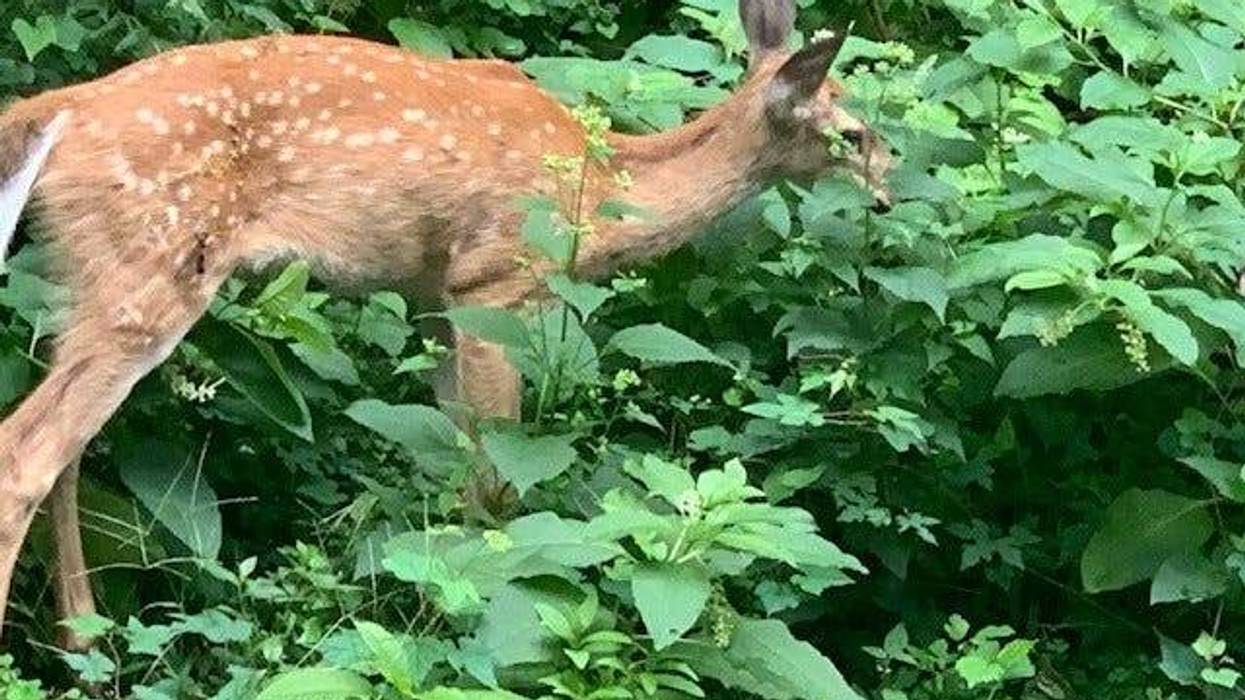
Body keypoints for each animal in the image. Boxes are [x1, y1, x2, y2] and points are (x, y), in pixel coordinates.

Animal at [0, 0, 891, 647]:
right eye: (851, 132)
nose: (888, 186)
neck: (601, 185)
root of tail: (58, 108)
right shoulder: (494, 279)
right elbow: (496, 479)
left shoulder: (432, 298)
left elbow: (459, 466)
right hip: (159, 257)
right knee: (27, 453)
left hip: (87, 272)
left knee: (66, 448)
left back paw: (85, 640)